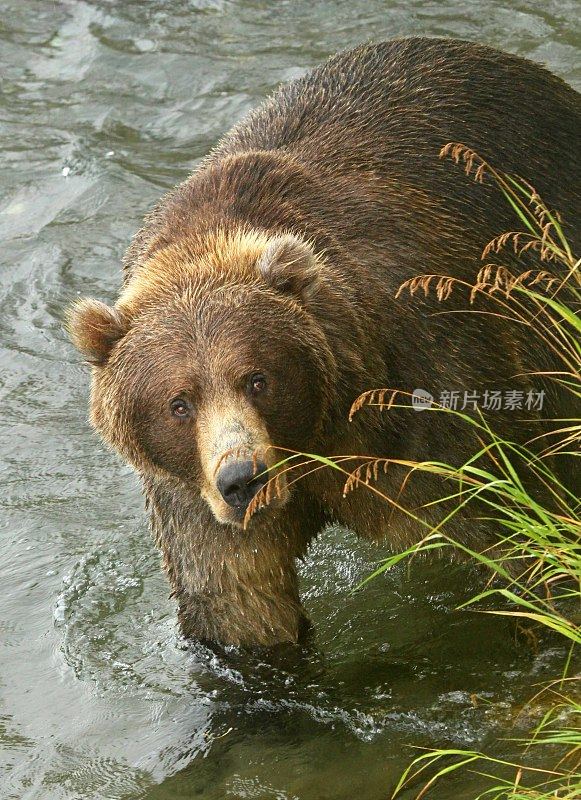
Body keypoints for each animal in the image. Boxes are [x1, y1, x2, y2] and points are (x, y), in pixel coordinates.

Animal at [69, 40, 580, 648]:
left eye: (258, 378)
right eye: (179, 403)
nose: (243, 480)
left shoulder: (439, 387)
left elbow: (519, 534)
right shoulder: (192, 494)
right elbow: (239, 604)